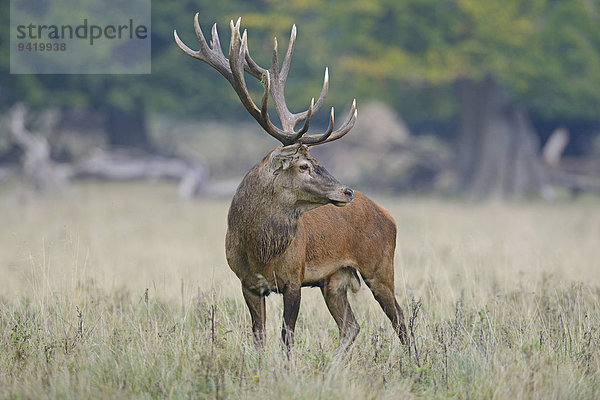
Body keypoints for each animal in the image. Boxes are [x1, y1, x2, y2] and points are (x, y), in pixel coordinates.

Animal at [173, 14, 408, 352]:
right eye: (304, 165)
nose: (347, 191)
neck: (259, 250)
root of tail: (389, 216)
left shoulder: (293, 278)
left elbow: (287, 338)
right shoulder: (247, 282)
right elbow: (259, 336)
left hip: (380, 266)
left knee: (401, 320)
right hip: (334, 279)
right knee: (351, 326)